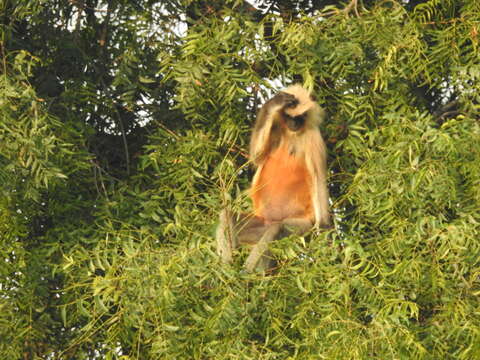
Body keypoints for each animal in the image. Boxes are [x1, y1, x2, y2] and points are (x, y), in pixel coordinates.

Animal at [217, 83, 330, 270]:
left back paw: (247, 272)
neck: (293, 134)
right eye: (288, 116)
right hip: (259, 224)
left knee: (277, 228)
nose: (294, 123)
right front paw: (273, 104)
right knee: (227, 215)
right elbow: (257, 158)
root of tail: (269, 221)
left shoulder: (314, 138)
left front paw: (326, 230)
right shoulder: (277, 125)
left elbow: (317, 178)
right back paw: (226, 267)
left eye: (300, 117)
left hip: (299, 225)